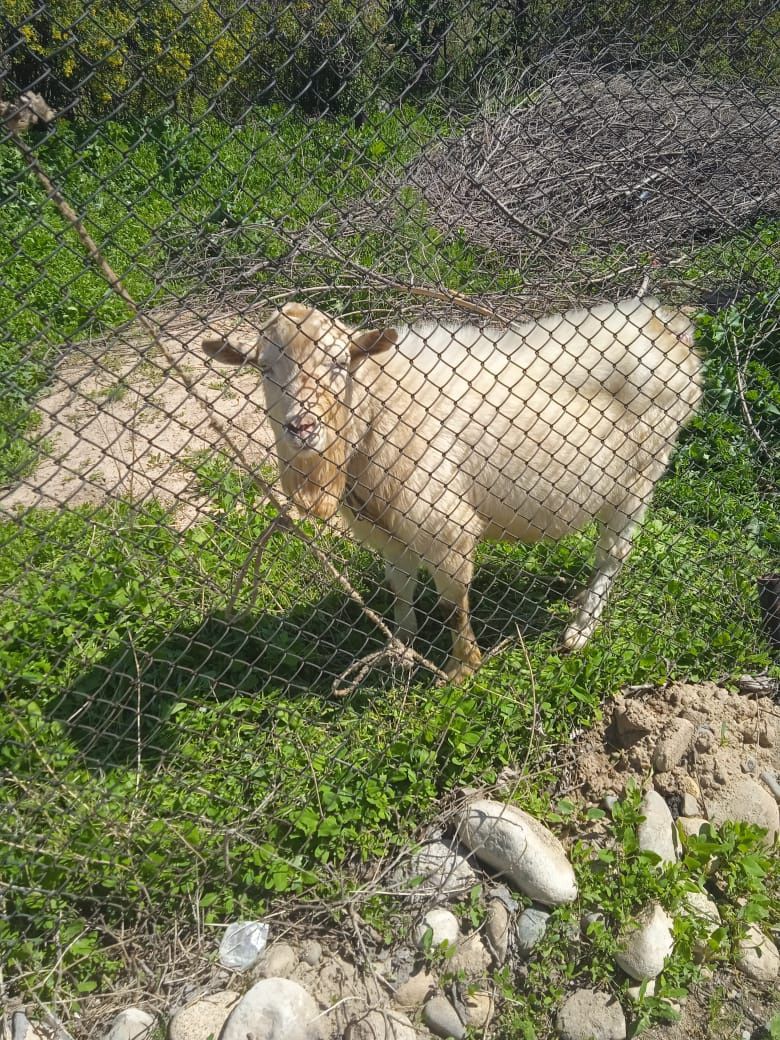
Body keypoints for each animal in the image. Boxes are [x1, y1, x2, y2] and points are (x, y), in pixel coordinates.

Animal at [204, 297, 707, 682]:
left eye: (338, 362)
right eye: (263, 368)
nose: (301, 427)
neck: (378, 404)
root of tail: (666, 325)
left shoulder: (444, 526)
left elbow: (452, 607)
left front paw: (462, 668)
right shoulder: (389, 527)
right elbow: (400, 588)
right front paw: (401, 646)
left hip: (640, 477)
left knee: (612, 555)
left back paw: (581, 629)